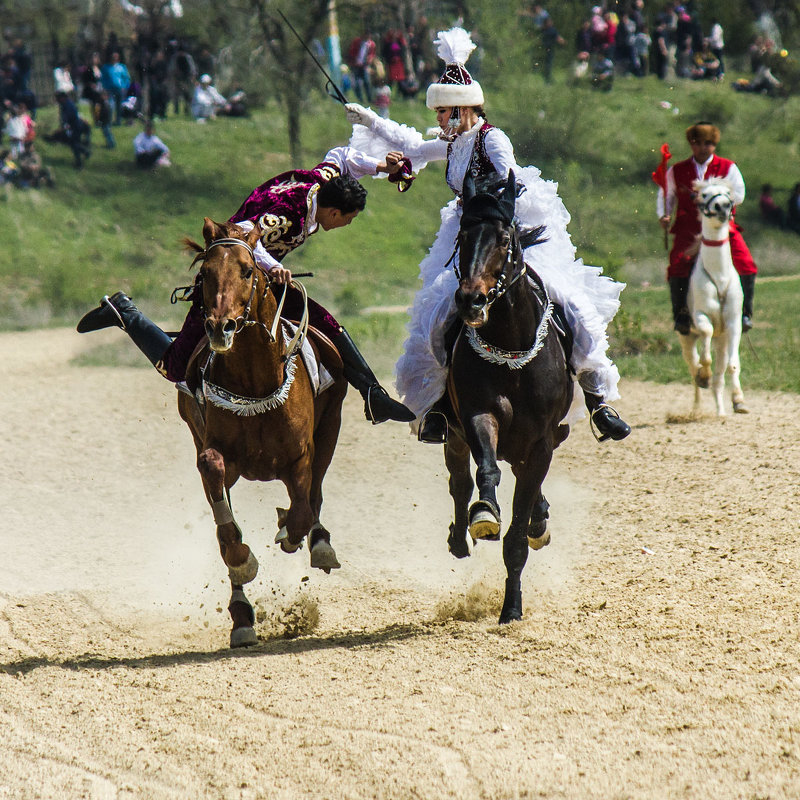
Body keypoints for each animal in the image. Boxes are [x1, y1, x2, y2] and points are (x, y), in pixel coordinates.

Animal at [178, 219, 346, 648]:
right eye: (205, 274)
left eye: (247, 271)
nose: (220, 328)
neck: (255, 383)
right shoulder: (214, 454)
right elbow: (225, 527)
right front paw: (242, 563)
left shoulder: (301, 455)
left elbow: (303, 508)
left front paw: (293, 533)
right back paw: (242, 618)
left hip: (330, 428)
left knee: (315, 495)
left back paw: (317, 543)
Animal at [444, 173, 576, 624]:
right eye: (463, 236)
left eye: (504, 239)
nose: (470, 299)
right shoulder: (478, 416)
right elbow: (485, 470)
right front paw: (484, 513)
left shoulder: (540, 444)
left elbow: (518, 536)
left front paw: (511, 608)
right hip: (453, 436)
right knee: (459, 481)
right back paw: (461, 534)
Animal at [680, 178, 748, 416]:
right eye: (703, 194)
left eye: (728, 194)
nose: (722, 207)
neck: (718, 274)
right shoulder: (701, 316)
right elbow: (705, 352)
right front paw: (704, 374)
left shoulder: (733, 323)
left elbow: (733, 365)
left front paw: (739, 400)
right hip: (686, 338)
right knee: (693, 369)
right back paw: (696, 406)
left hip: (722, 340)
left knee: (719, 378)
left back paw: (721, 412)